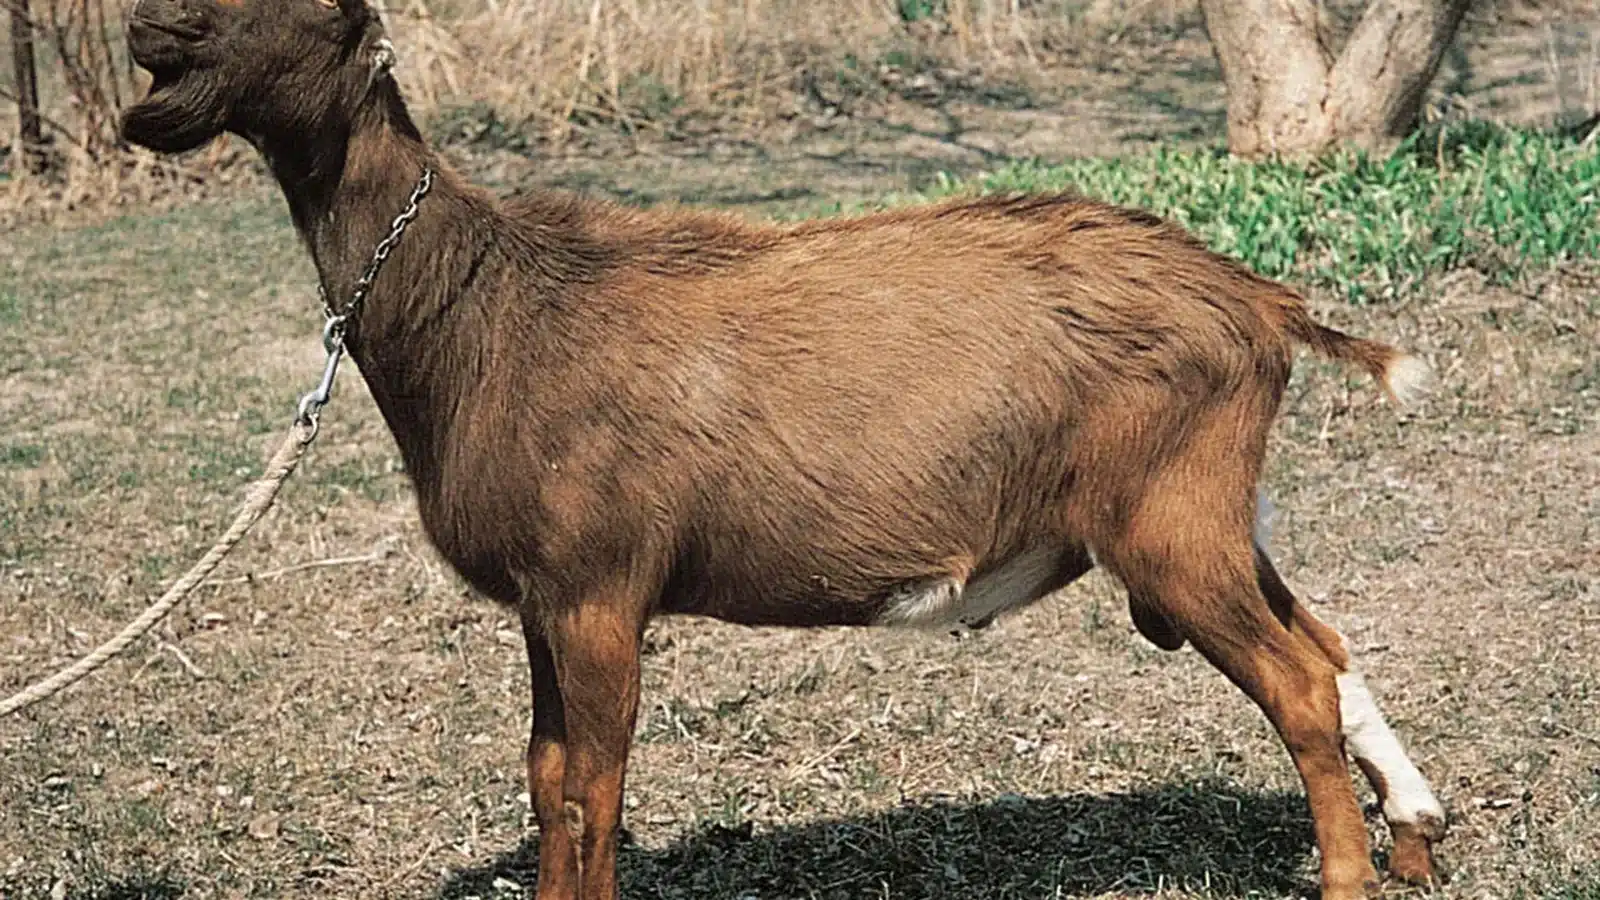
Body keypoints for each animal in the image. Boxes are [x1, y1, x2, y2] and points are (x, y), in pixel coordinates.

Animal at [119, 0, 1447, 897]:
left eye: (300, 0)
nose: (144, 30)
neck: (489, 310)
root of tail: (1261, 303)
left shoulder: (601, 590)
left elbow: (593, 793)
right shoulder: (542, 600)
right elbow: (547, 781)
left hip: (1169, 522)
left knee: (1294, 681)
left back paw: (1349, 875)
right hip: (1214, 514)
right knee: (1324, 648)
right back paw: (1416, 839)